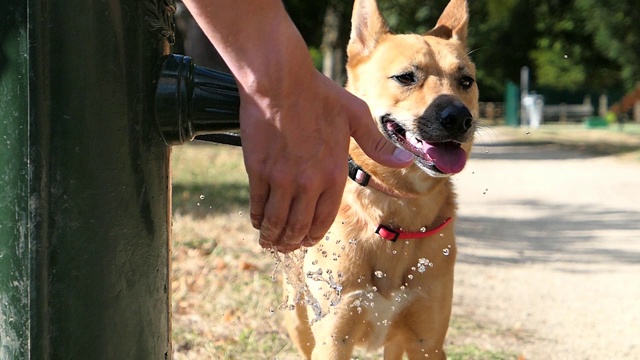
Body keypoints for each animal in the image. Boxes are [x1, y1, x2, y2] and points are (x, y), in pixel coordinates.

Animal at [282, 0, 478, 358]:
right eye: (405, 77)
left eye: (466, 81)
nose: (459, 118)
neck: (397, 211)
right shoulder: (333, 338)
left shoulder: (427, 343)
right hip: (298, 318)